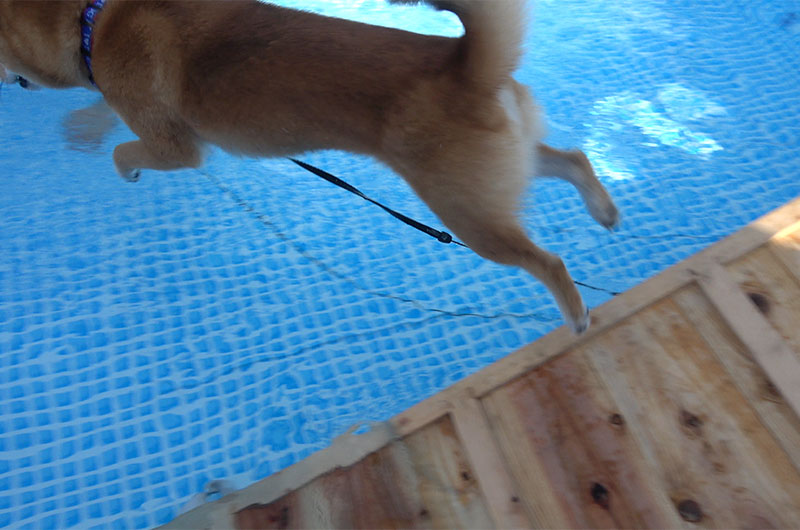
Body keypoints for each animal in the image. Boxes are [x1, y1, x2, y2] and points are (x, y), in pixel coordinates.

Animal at [0, 0, 620, 330]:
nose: (7, 81)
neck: (92, 18)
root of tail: (465, 66)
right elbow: (100, 115)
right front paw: (84, 125)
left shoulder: (175, 147)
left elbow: (123, 149)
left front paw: (120, 164)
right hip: (504, 171)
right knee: (572, 159)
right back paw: (604, 209)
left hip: (468, 215)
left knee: (548, 261)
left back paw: (575, 312)